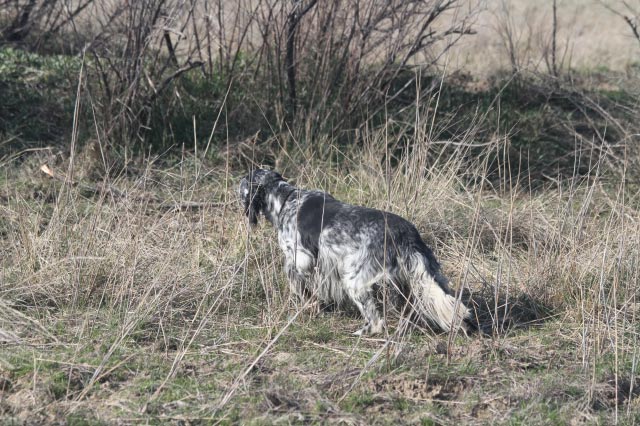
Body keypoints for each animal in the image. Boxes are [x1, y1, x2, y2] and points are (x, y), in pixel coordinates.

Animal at [240, 170, 470, 336]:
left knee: (376, 321)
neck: (287, 199)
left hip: (353, 279)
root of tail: (406, 234)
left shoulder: (300, 260)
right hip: (416, 276)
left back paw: (363, 332)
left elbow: (301, 286)